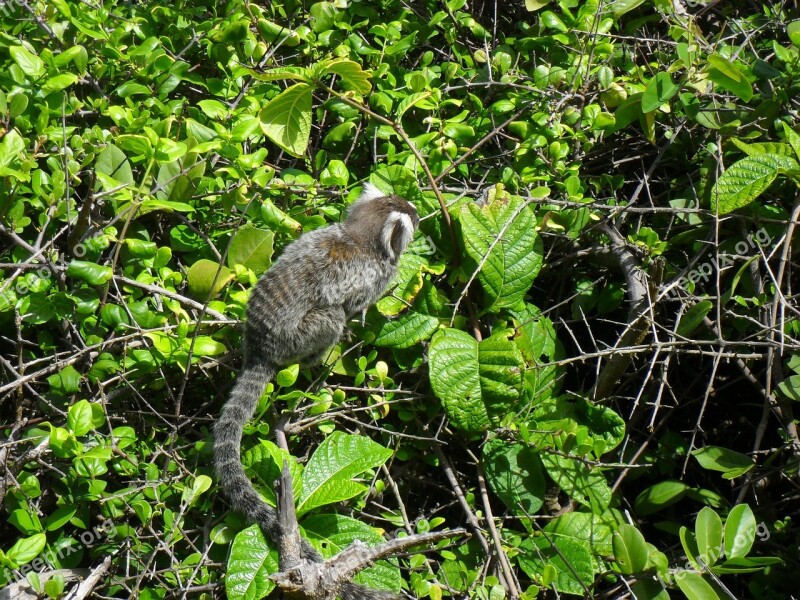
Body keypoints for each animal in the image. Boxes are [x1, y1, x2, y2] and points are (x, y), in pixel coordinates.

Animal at [216, 184, 422, 600]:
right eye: (410, 216)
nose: (420, 215)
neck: (361, 238)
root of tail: (262, 348)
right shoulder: (370, 277)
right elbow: (357, 302)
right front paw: (366, 313)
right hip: (303, 336)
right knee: (332, 316)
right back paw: (322, 354)